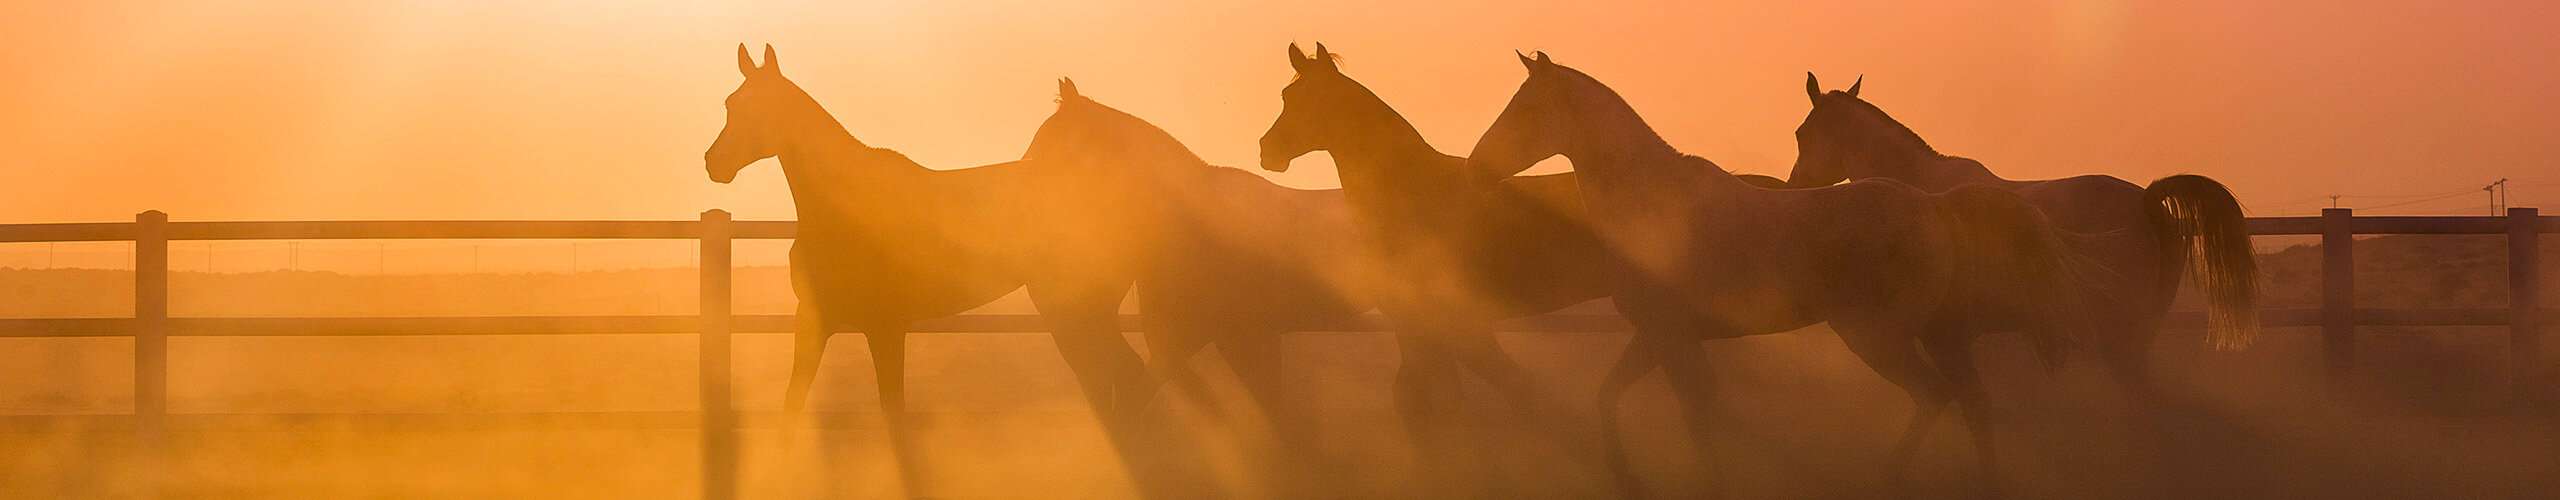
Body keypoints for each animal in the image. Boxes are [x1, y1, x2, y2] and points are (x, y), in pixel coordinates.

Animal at [701, 45, 1152, 425]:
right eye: (729, 104)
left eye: (757, 106)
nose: (713, 162)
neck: (840, 207)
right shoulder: (812, 322)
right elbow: (791, 410)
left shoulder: (885, 327)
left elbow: (895, 415)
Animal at [1254, 42, 1617, 479]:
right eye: (1286, 96)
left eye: (1312, 98)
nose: (1268, 151)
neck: (1413, 192)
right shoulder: (1416, 327)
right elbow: (1423, 402)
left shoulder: (1449, 324)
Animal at [1464, 52, 2099, 497]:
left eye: (1527, 108)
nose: (1477, 165)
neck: (1652, 206)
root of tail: (1935, 206)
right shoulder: (1655, 336)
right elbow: (1610, 397)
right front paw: (1629, 480)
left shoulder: (1672, 337)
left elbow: (1696, 414)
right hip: (1937, 335)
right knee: (1970, 402)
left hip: (1877, 336)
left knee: (1934, 396)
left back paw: (1886, 478)